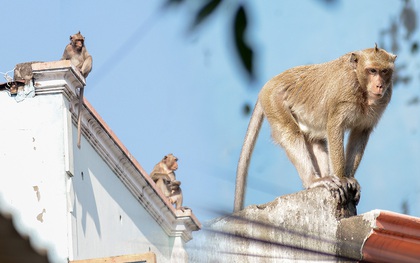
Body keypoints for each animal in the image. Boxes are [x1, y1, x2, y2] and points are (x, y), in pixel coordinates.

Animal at [233, 44, 398, 212]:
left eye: (384, 71)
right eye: (372, 70)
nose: (380, 85)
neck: (358, 81)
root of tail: (268, 84)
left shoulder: (383, 100)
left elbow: (360, 132)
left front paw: (350, 178)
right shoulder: (344, 94)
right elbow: (335, 128)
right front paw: (343, 178)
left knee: (316, 140)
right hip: (273, 99)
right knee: (290, 133)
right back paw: (313, 181)